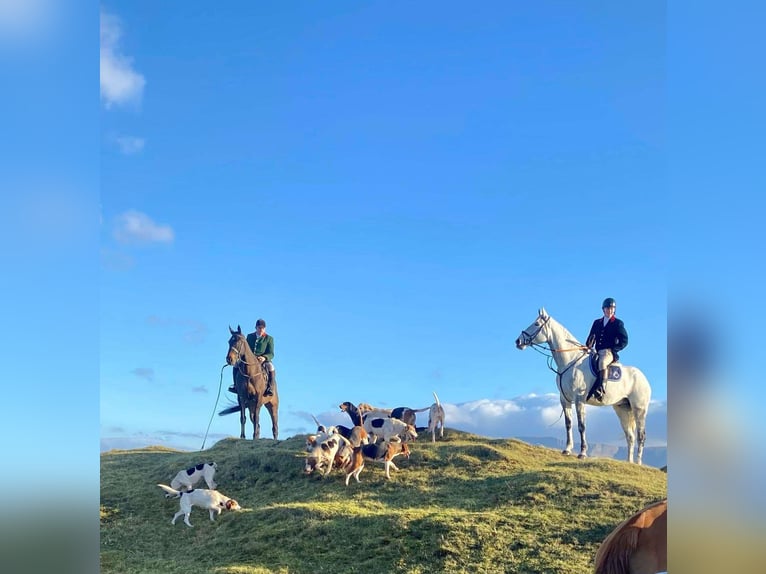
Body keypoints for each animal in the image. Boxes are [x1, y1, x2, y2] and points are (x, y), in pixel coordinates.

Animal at [516, 308, 656, 466]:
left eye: (536, 324)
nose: (518, 341)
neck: (570, 361)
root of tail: (644, 378)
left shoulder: (579, 399)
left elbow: (581, 426)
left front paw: (582, 453)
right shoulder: (565, 400)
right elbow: (568, 424)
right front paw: (567, 449)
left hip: (639, 409)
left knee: (641, 435)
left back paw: (638, 463)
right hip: (622, 409)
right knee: (630, 436)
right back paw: (629, 463)